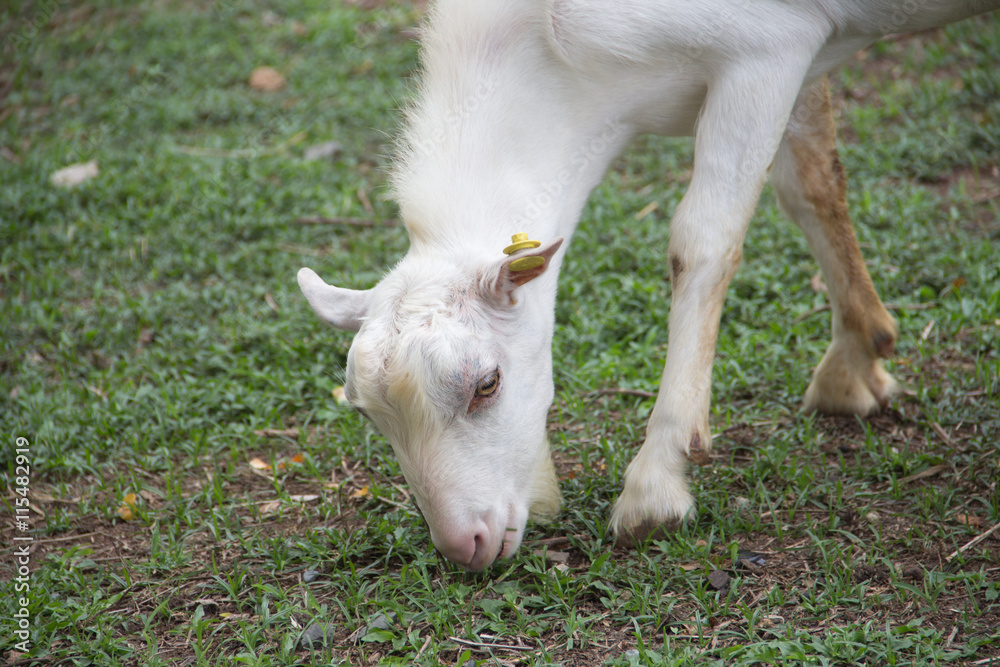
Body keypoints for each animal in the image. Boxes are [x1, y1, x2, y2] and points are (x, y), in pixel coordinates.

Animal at [298, 0, 1000, 572]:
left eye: (486, 384)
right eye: (366, 414)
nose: (463, 545)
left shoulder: (767, 53)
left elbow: (703, 240)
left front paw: (656, 486)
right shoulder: (804, 62)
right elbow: (812, 180)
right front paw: (856, 360)